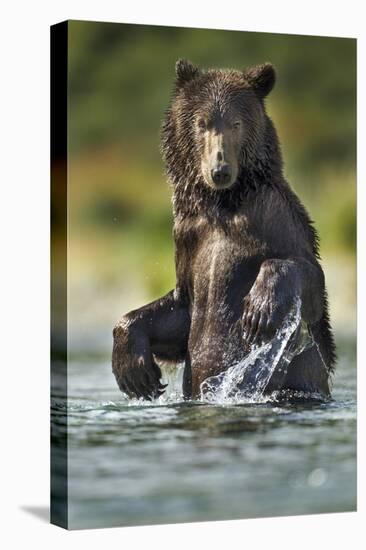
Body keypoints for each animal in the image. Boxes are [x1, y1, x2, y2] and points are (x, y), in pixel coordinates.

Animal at [112, 59, 338, 402]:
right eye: (202, 123)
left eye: (236, 123)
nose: (220, 169)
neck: (222, 205)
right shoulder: (188, 236)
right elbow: (180, 311)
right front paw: (136, 372)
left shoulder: (274, 216)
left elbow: (309, 280)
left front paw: (259, 310)